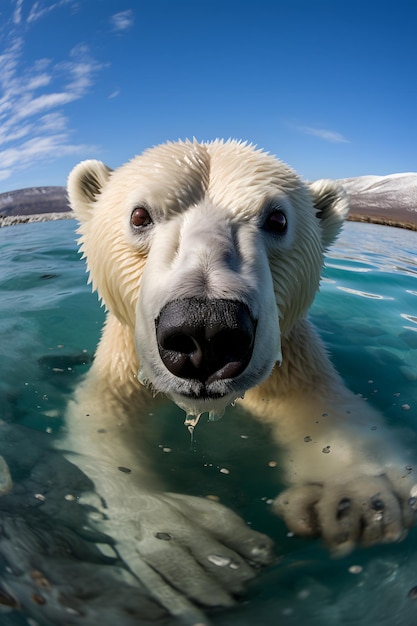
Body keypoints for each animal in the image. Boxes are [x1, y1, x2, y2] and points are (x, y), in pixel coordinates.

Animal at [66, 139, 414, 620]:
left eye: (277, 219)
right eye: (139, 215)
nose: (206, 331)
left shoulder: (291, 359)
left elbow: (320, 401)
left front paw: (358, 497)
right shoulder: (123, 363)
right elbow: (100, 416)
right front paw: (184, 544)